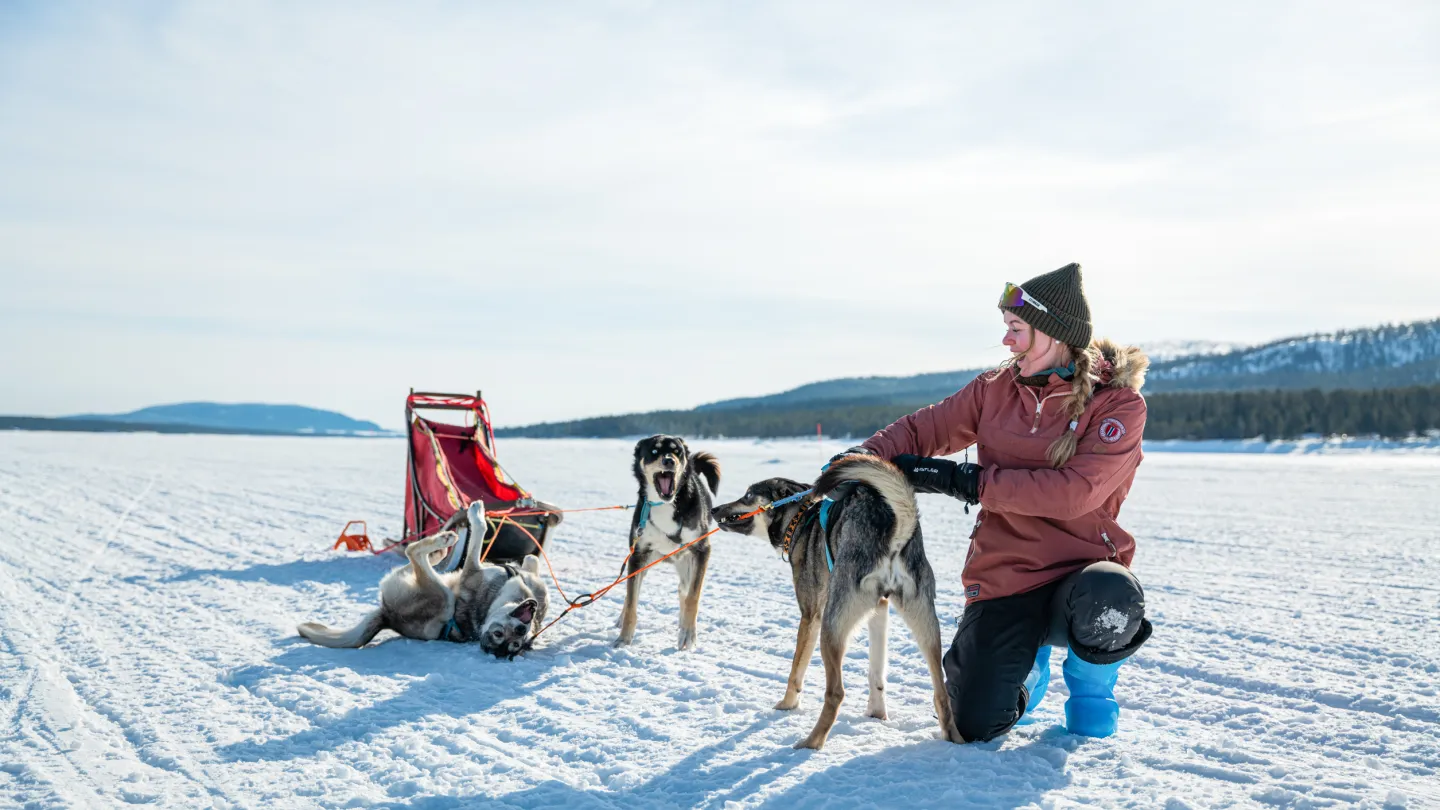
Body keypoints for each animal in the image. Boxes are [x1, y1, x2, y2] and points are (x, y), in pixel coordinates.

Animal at [295, 501, 547, 660]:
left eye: (516, 641)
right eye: (500, 635)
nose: (522, 627)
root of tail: (388, 616)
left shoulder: (471, 571)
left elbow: (479, 532)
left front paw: (476, 515)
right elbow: (532, 559)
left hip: (443, 599)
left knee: (413, 553)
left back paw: (441, 542)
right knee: (413, 559)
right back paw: (439, 551)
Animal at [711, 455, 961, 749]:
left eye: (749, 495)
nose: (714, 509)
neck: (800, 520)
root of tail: (894, 531)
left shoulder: (810, 616)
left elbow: (795, 671)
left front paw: (786, 705)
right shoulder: (879, 609)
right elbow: (876, 673)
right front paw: (877, 713)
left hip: (831, 628)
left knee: (836, 692)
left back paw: (812, 741)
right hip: (926, 625)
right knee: (941, 691)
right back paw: (954, 737)